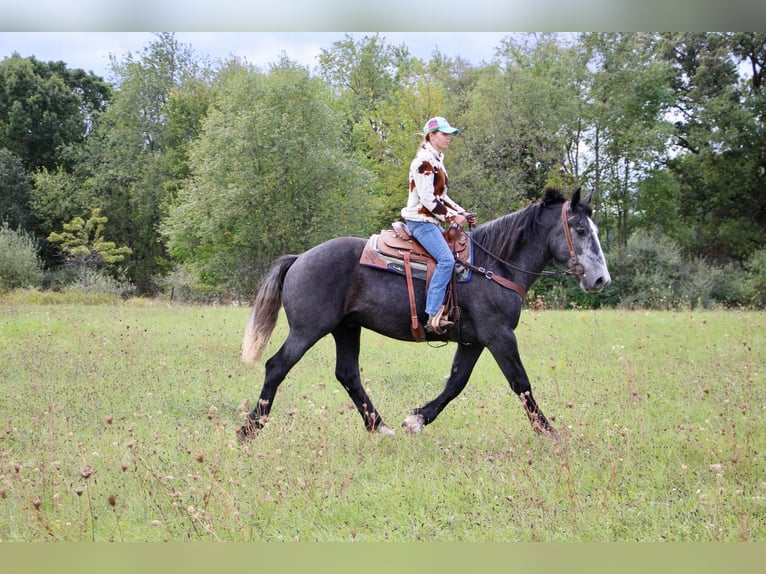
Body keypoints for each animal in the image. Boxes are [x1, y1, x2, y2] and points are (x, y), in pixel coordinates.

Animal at [238, 188, 612, 440]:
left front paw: (416, 419)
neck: (494, 265)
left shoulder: (474, 341)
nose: (600, 279)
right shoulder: (500, 335)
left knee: (347, 374)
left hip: (346, 328)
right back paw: (250, 428)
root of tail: (300, 258)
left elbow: (456, 383)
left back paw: (380, 427)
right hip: (308, 329)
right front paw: (549, 433)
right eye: (580, 230)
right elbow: (520, 383)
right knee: (277, 366)